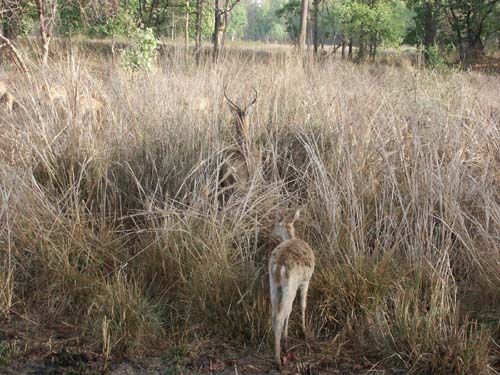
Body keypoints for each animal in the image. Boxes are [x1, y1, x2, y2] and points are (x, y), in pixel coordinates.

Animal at [268, 210, 314, 372]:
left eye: (275, 224)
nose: (271, 234)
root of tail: (278, 267)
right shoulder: (306, 281)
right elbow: (302, 305)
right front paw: (304, 332)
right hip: (290, 285)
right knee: (282, 313)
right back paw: (279, 361)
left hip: (273, 285)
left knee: (275, 314)